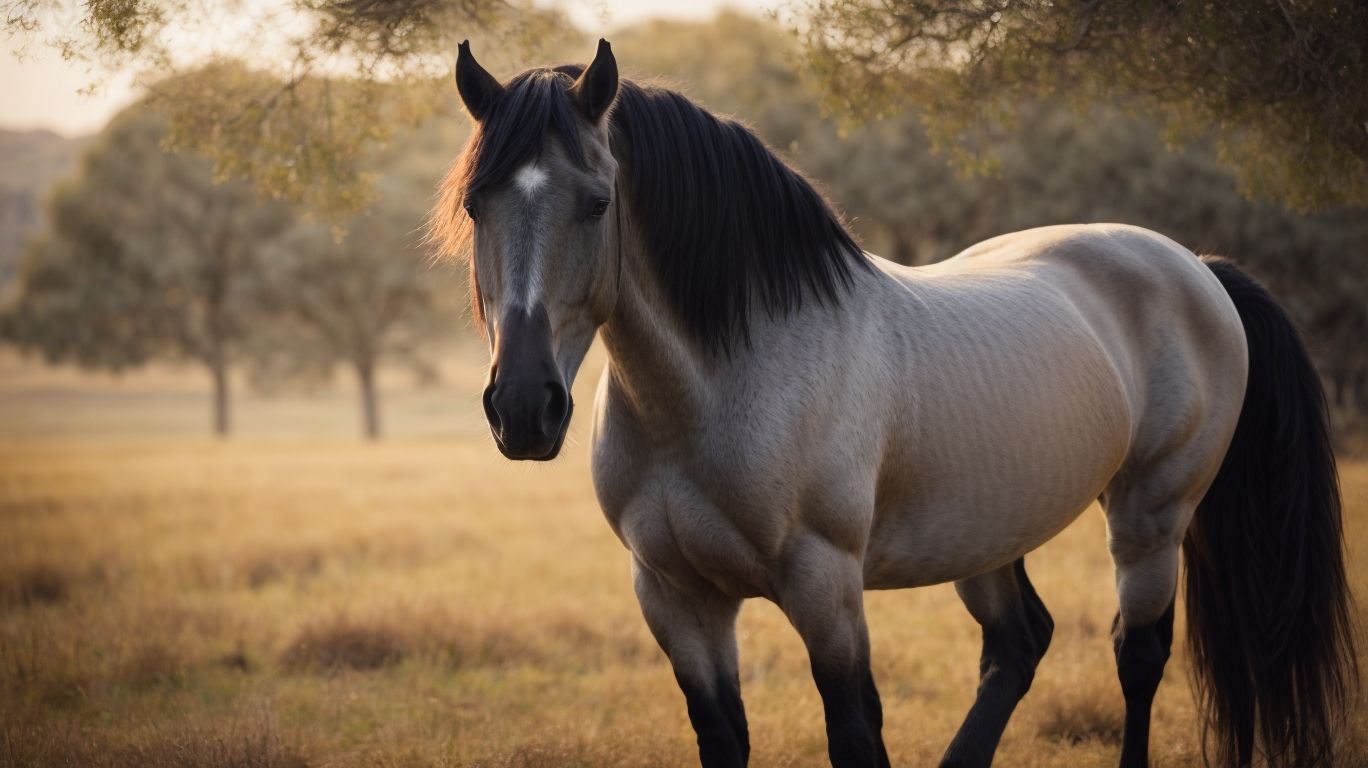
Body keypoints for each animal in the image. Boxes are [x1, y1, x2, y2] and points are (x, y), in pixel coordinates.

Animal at [429, 39, 1356, 768]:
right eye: (476, 204)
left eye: (597, 204)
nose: (524, 409)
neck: (718, 391)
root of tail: (1196, 267)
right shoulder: (674, 597)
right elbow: (724, 735)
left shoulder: (827, 588)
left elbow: (855, 732)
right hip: (988, 533)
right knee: (1017, 646)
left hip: (1152, 517)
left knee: (1139, 656)